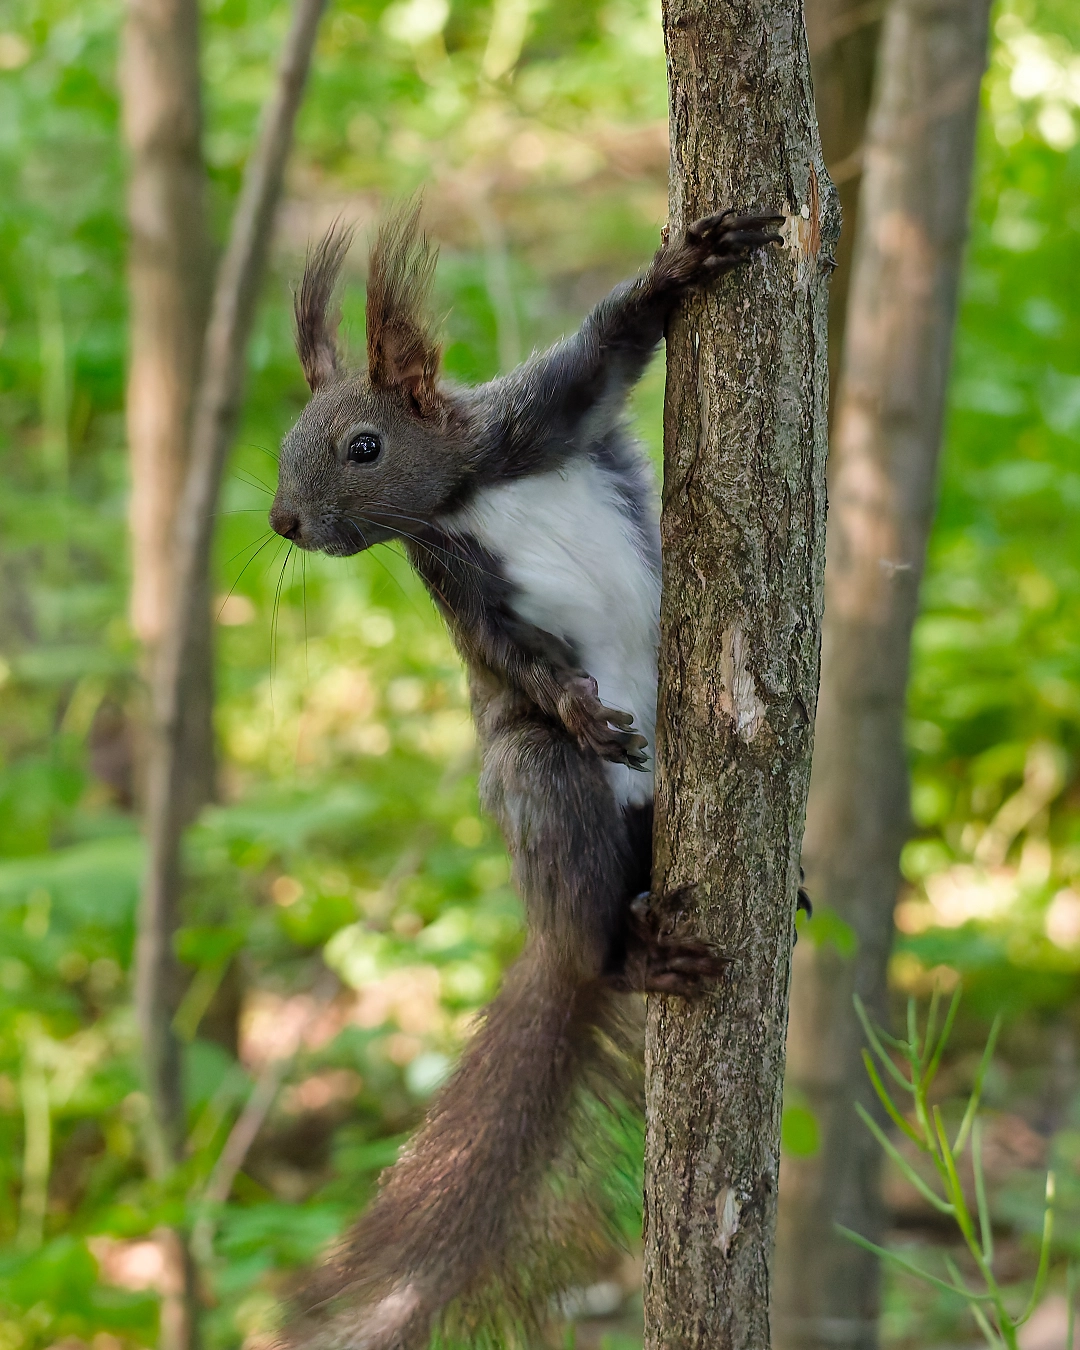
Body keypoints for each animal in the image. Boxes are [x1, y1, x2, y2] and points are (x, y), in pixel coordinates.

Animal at [268, 202, 783, 1350]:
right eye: (281, 450)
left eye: (363, 446)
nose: (283, 522)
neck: (463, 493)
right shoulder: (461, 586)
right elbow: (521, 664)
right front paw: (584, 707)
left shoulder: (540, 420)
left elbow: (607, 352)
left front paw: (684, 267)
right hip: (545, 792)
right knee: (570, 839)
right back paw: (633, 956)